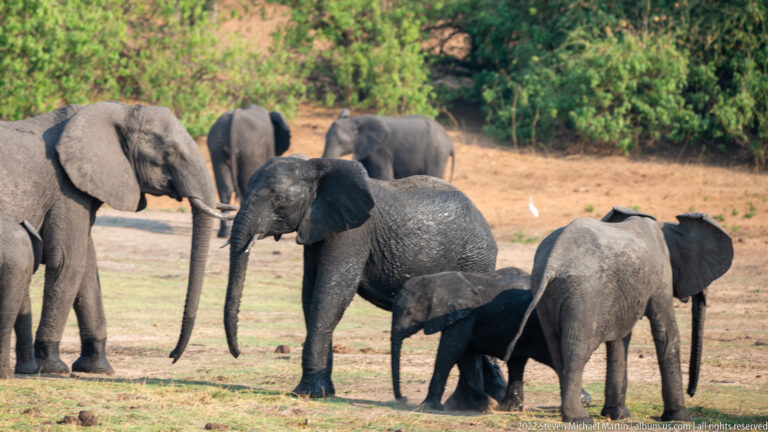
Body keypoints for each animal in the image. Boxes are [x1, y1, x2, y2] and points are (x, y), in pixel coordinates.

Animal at [204, 157, 497, 398]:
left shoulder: (353, 233)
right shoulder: (318, 228)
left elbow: (331, 294)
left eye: (281, 200)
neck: (316, 167)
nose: (238, 353)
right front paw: (321, 392)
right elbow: (311, 296)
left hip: (475, 259)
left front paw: (307, 394)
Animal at [207, 104, 291, 237]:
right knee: (246, 185)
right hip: (251, 150)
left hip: (217, 148)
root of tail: (234, 122)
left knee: (225, 189)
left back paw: (224, 233)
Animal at [322, 110, 455, 182]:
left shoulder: (381, 150)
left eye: (342, 143)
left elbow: (383, 175)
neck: (355, 120)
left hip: (437, 154)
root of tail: (449, 141)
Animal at [392, 267, 591, 412]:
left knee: (552, 359)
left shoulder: (464, 315)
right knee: (517, 362)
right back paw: (509, 408)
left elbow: (451, 351)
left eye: (408, 312)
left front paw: (428, 407)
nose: (402, 398)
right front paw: (483, 405)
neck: (435, 280)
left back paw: (584, 402)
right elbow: (467, 355)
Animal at [505, 207, 733, 423]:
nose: (692, 393)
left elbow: (619, 340)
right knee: (576, 350)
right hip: (584, 294)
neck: (666, 228)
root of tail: (553, 261)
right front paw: (679, 418)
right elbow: (665, 332)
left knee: (556, 346)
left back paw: (570, 414)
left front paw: (618, 415)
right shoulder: (660, 275)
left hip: (546, 294)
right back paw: (580, 419)